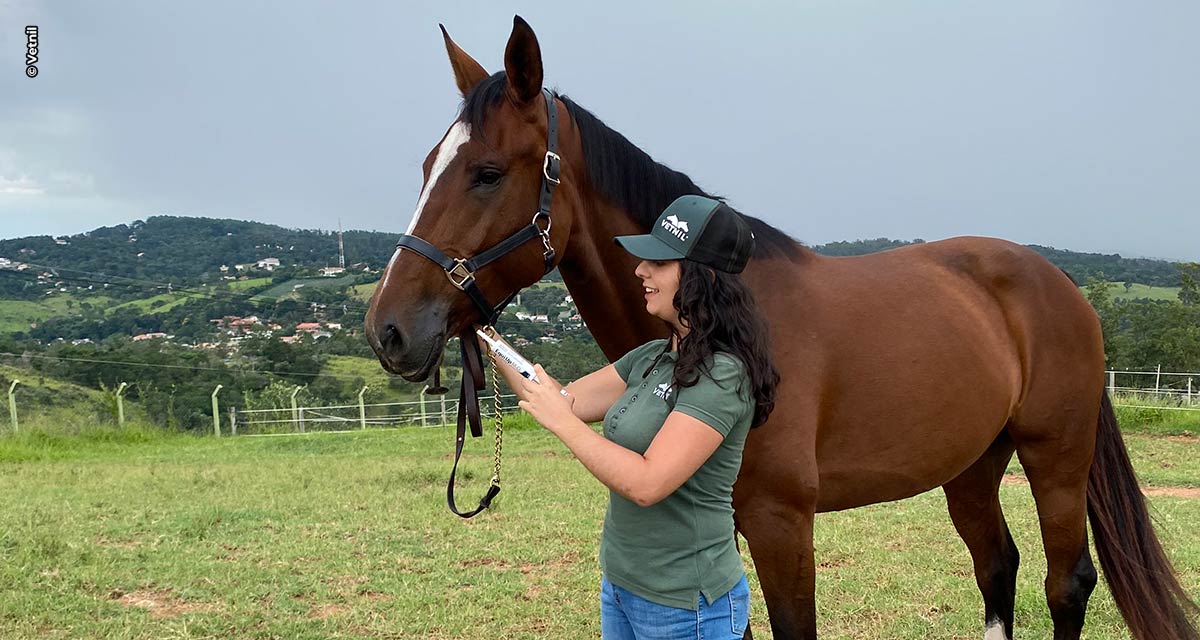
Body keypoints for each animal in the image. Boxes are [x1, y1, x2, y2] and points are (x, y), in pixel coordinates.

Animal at [364, 15, 1200, 638]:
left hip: (1055, 459)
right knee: (998, 570)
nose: (388, 330)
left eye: (487, 173)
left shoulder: (781, 524)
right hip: (972, 464)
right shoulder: (728, 526)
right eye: (428, 168)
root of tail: (1058, 286)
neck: (727, 315)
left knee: (1067, 584)